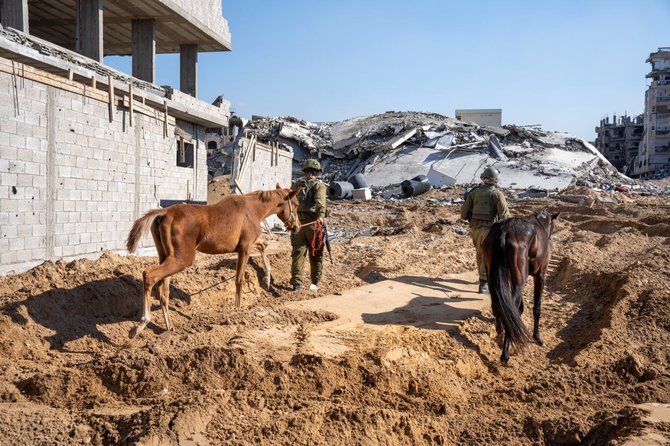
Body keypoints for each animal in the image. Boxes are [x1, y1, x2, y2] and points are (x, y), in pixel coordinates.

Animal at [127, 186, 300, 338]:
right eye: (297, 204)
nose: (297, 226)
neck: (253, 210)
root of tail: (165, 213)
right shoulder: (245, 248)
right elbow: (239, 280)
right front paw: (237, 311)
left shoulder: (249, 243)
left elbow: (264, 246)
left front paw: (267, 280)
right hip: (181, 258)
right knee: (149, 275)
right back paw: (142, 324)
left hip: (167, 256)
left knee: (163, 291)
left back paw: (169, 327)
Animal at [484, 207, 560, 364]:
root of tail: (504, 229)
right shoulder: (540, 276)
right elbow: (536, 308)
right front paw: (537, 338)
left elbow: (519, 309)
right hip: (520, 281)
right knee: (510, 309)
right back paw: (505, 354)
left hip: (493, 276)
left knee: (498, 305)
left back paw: (500, 333)